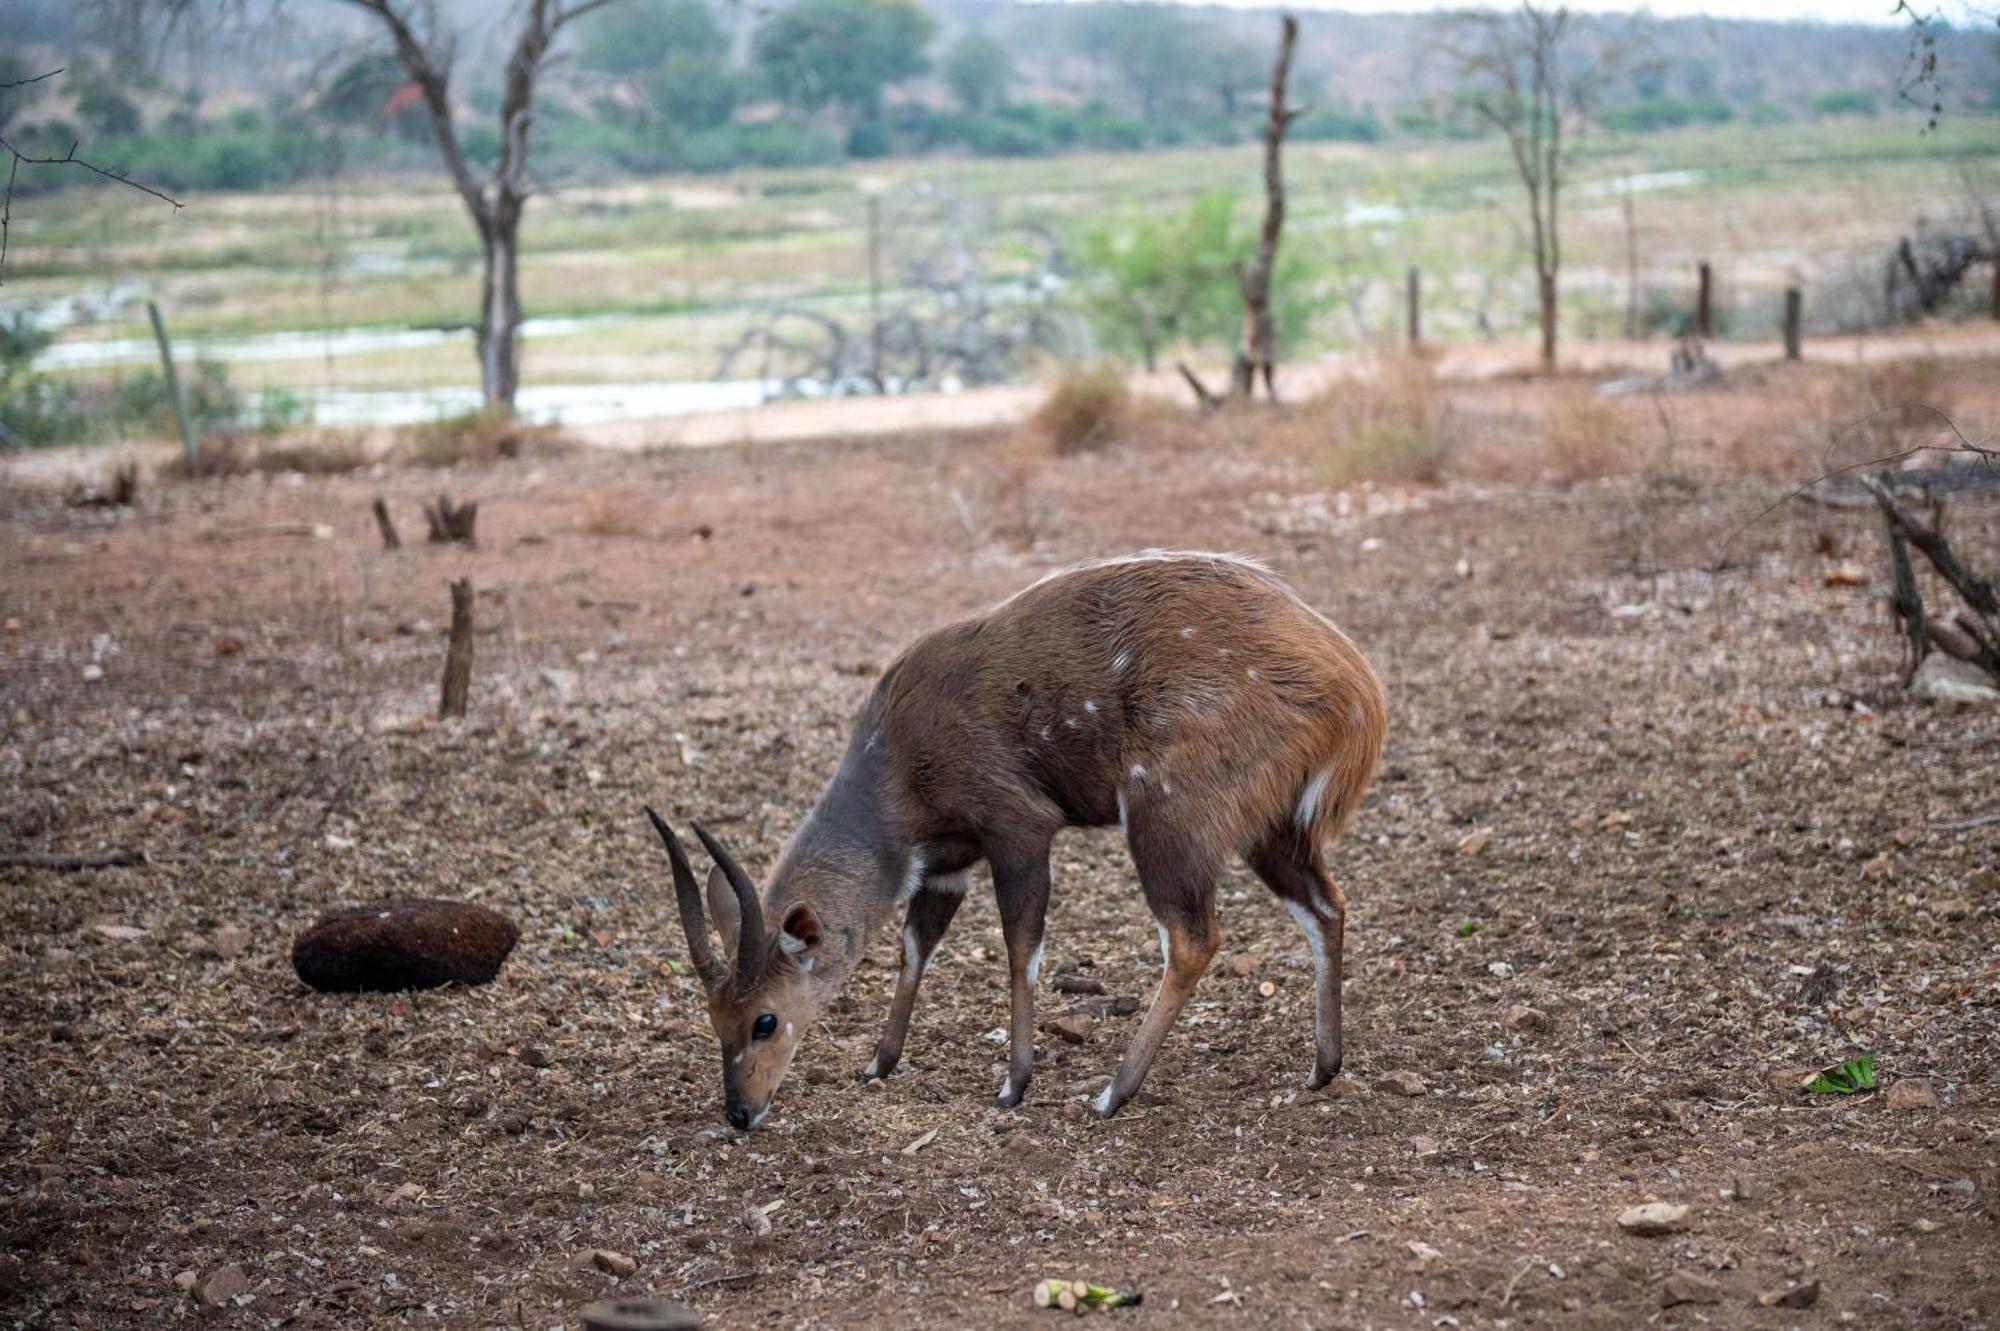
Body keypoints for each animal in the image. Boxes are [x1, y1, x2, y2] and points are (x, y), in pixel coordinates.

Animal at [648, 547, 1384, 1119]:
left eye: (764, 1019)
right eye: (714, 1017)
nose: (740, 1112)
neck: (897, 765)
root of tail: (1357, 689)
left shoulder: (1019, 826)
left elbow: (1020, 944)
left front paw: (1013, 1083)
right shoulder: (949, 861)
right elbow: (916, 944)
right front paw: (879, 1063)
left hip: (1164, 813)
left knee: (1193, 936)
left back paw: (1111, 1093)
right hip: (1272, 829)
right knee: (1327, 905)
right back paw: (1322, 1066)